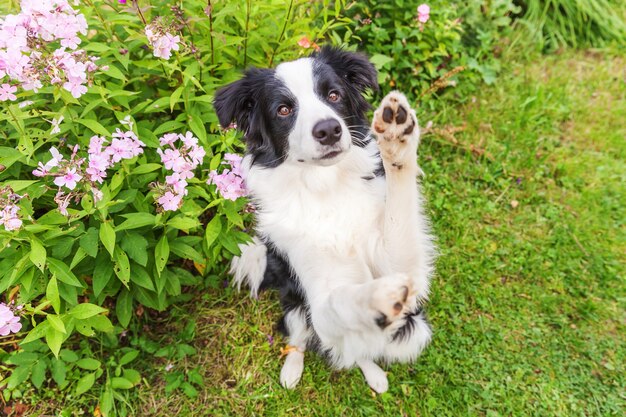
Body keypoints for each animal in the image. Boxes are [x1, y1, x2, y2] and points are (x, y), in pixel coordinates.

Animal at [212, 47, 432, 392]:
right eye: (284, 109)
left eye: (333, 95)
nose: (329, 130)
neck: (325, 189)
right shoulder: (317, 295)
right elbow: (340, 299)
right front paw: (380, 296)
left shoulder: (396, 257)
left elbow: (400, 213)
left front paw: (397, 138)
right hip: (295, 307)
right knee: (306, 337)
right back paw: (292, 369)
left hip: (415, 331)